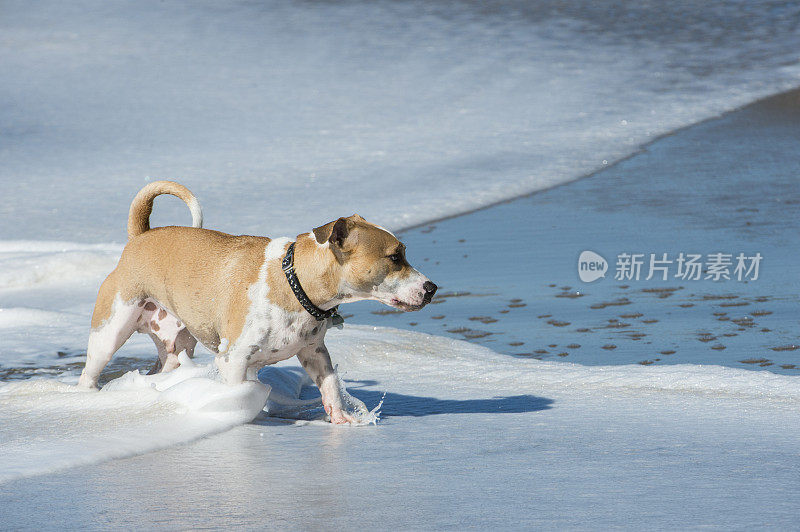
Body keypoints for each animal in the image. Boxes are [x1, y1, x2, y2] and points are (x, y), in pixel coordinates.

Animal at [77, 181, 434, 422]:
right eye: (395, 257)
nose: (431, 288)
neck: (293, 281)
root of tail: (139, 236)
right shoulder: (233, 361)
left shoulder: (314, 352)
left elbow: (331, 385)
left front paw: (341, 419)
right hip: (111, 329)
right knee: (91, 370)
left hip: (178, 342)